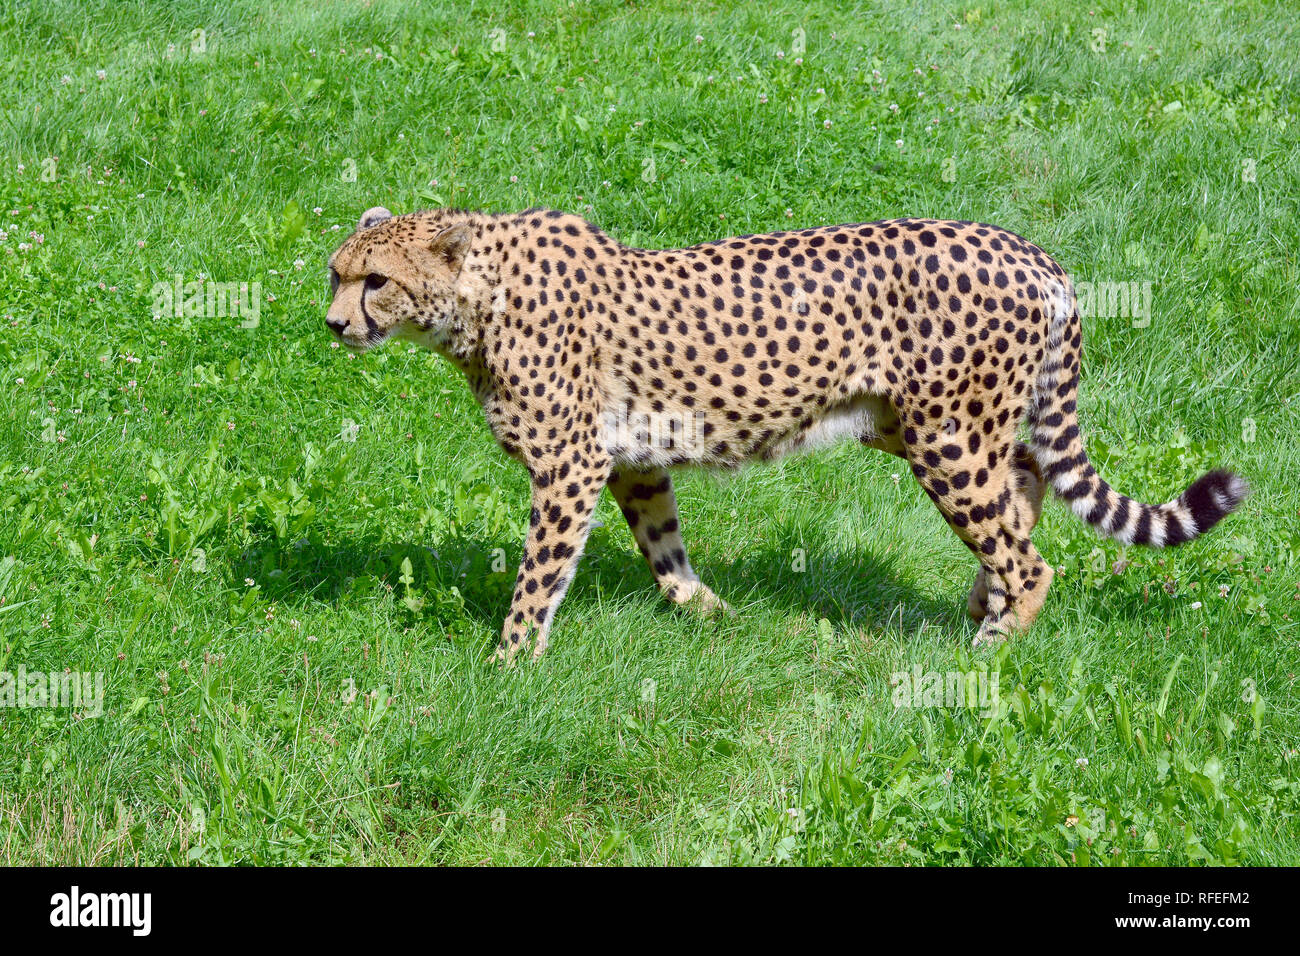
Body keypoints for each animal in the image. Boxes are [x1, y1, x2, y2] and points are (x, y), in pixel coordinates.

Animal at [326, 205, 1248, 661]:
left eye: (375, 281)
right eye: (336, 274)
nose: (333, 324)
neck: (474, 301)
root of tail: (1032, 252)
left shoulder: (569, 466)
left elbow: (537, 577)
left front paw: (508, 664)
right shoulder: (630, 462)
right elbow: (663, 550)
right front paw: (715, 617)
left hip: (945, 434)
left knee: (1030, 555)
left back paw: (991, 641)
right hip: (913, 423)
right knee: (1023, 472)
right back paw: (978, 600)